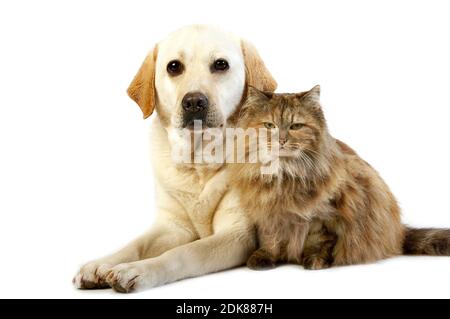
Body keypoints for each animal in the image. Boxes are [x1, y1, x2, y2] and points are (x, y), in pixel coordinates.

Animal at [72, 25, 276, 294]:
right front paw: (102, 264)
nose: (194, 102)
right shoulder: (172, 226)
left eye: (221, 64)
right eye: (174, 67)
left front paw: (137, 270)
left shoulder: (238, 234)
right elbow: (135, 245)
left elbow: (184, 253)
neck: (198, 163)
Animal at [230, 85, 450, 270]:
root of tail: (399, 231)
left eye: (296, 126)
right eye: (269, 125)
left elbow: (317, 242)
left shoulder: (323, 216)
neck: (285, 175)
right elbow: (271, 240)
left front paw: (315, 260)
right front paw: (264, 257)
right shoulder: (268, 213)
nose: (282, 140)